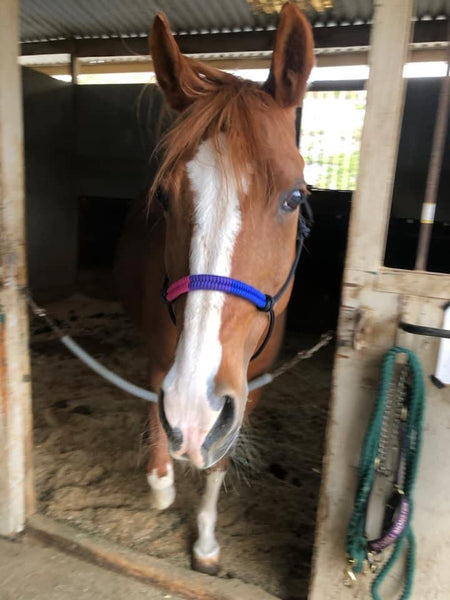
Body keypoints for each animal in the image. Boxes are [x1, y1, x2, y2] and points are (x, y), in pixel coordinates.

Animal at [115, 2, 312, 576]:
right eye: (163, 196)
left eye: (294, 197)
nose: (194, 405)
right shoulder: (167, 366)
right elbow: (160, 419)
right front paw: (161, 481)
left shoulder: (249, 388)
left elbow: (218, 464)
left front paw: (204, 542)